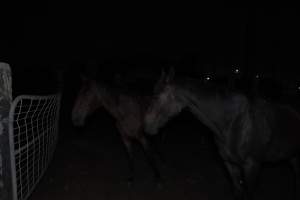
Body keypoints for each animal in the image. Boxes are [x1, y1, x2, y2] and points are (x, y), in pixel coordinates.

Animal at [144, 68, 300, 199]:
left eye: (156, 97)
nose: (146, 125)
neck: (233, 122)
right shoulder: (229, 164)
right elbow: (238, 191)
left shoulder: (252, 166)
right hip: (293, 157)